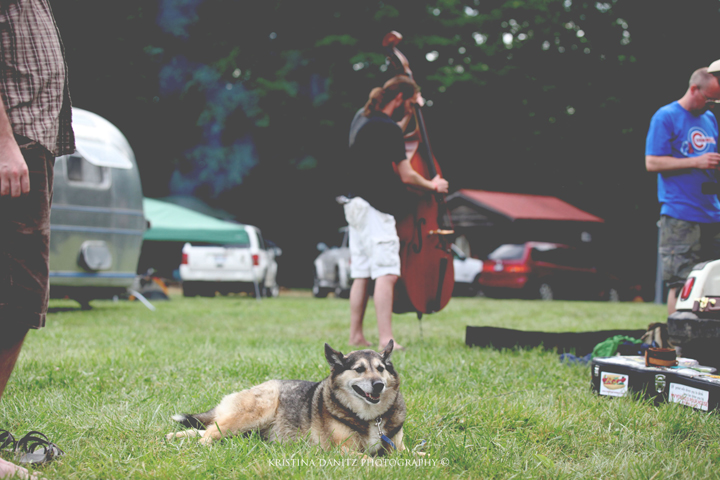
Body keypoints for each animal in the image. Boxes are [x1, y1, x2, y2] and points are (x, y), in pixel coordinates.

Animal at [166, 340, 408, 456]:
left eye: (380, 369)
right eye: (359, 369)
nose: (379, 384)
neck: (372, 418)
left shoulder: (399, 448)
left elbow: (412, 455)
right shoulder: (342, 451)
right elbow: (371, 460)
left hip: (245, 430)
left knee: (207, 429)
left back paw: (175, 436)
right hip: (257, 413)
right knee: (208, 435)